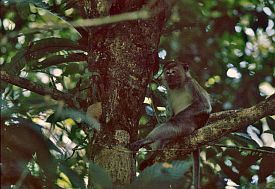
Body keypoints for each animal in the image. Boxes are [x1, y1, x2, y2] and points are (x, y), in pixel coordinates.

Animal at [130, 60, 212, 189]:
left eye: (173, 71)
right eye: (167, 72)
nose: (170, 76)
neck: (179, 86)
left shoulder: (192, 85)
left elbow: (204, 105)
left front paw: (174, 118)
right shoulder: (169, 92)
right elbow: (171, 111)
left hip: (188, 127)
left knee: (173, 125)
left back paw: (147, 141)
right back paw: (155, 153)